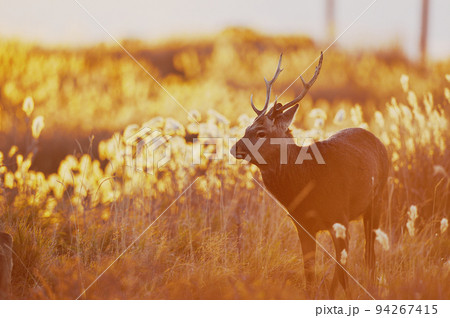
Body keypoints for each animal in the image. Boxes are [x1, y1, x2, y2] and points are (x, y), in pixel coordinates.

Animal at [230, 52, 388, 298]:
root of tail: (377, 140)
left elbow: (343, 271)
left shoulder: (339, 216)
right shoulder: (303, 224)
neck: (307, 179)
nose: (235, 148)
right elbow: (309, 274)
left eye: (261, 132)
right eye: (246, 128)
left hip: (377, 199)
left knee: (368, 254)